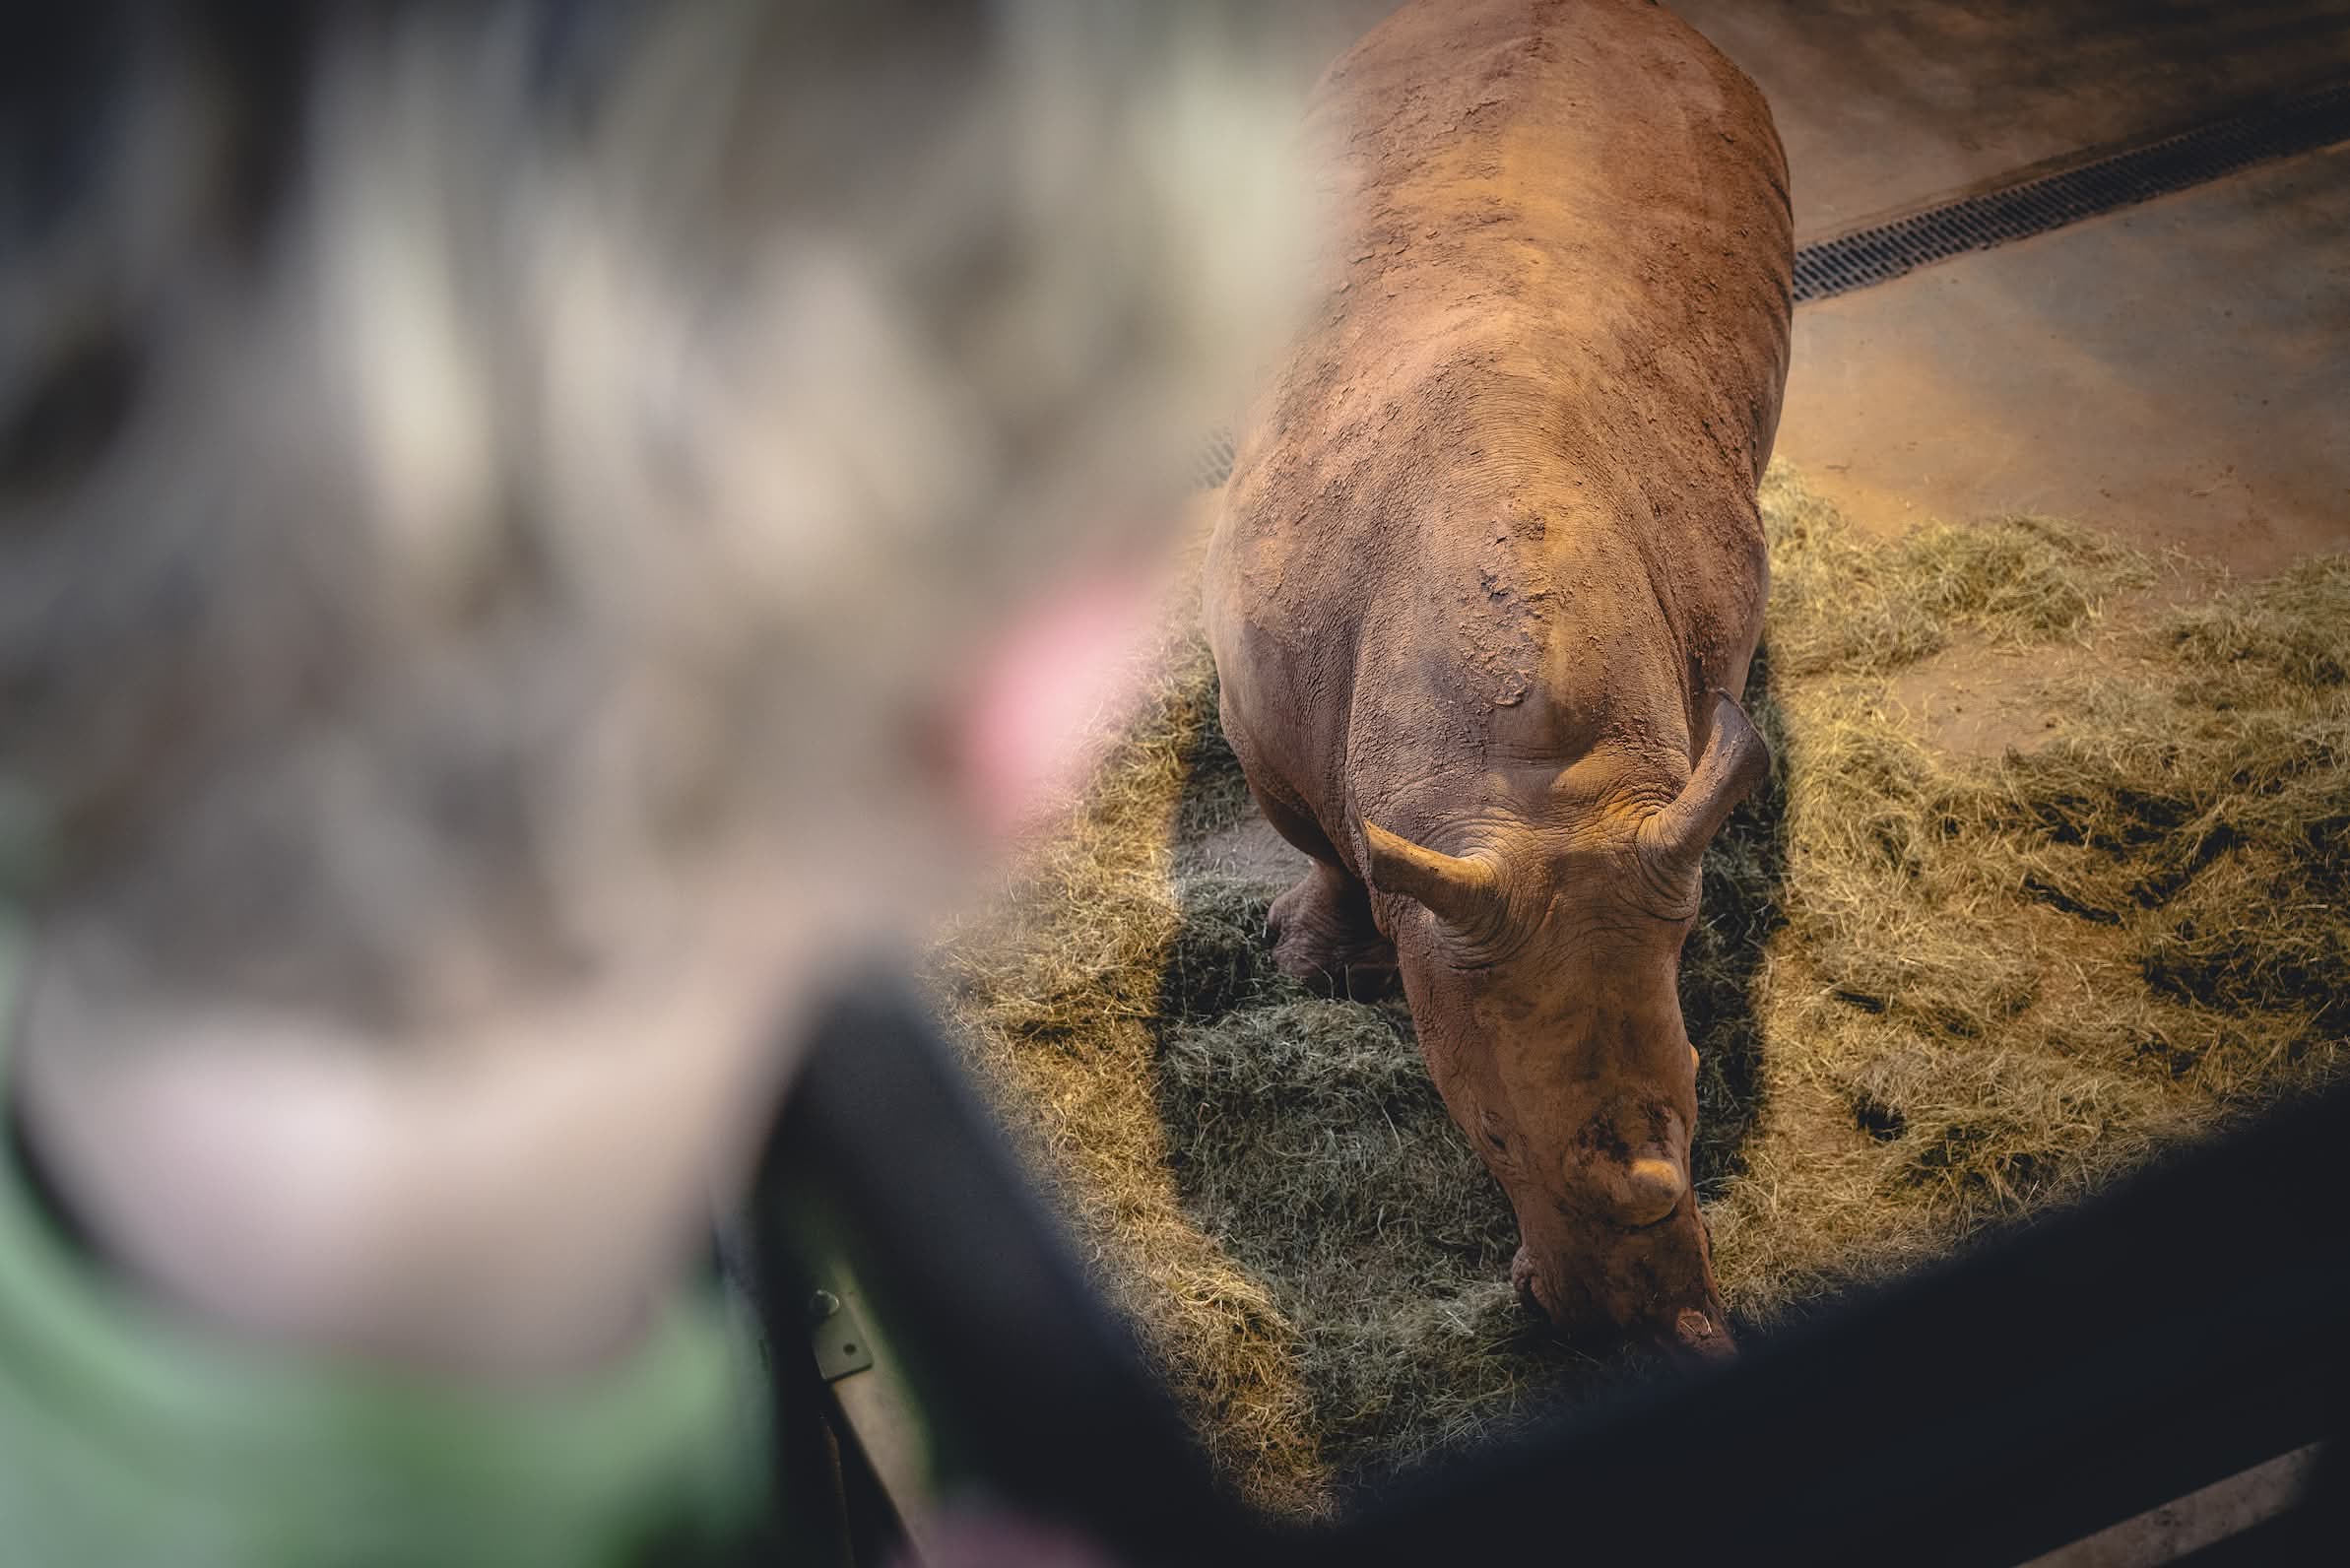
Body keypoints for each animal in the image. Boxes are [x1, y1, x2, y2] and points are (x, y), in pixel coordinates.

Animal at [1203, 0, 1792, 1362]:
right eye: (1487, 1136)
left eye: (1700, 1092)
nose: (1650, 1332)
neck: (1524, 788)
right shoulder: (1273, 731)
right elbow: (1322, 846)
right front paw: (1313, 969)